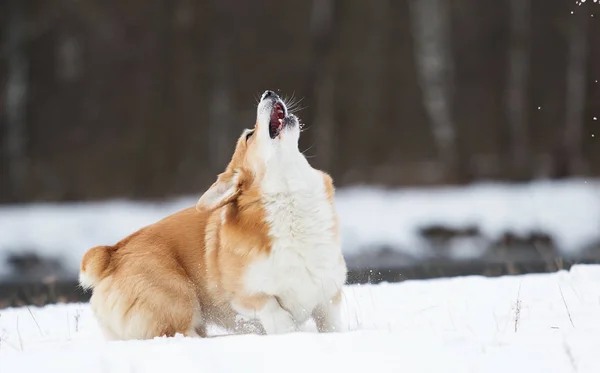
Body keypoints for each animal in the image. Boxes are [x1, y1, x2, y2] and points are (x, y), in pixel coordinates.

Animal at [77, 90, 346, 340]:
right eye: (249, 135)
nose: (268, 92)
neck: (290, 200)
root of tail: (111, 254)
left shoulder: (328, 297)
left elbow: (332, 326)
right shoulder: (246, 297)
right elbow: (275, 313)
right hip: (179, 298)